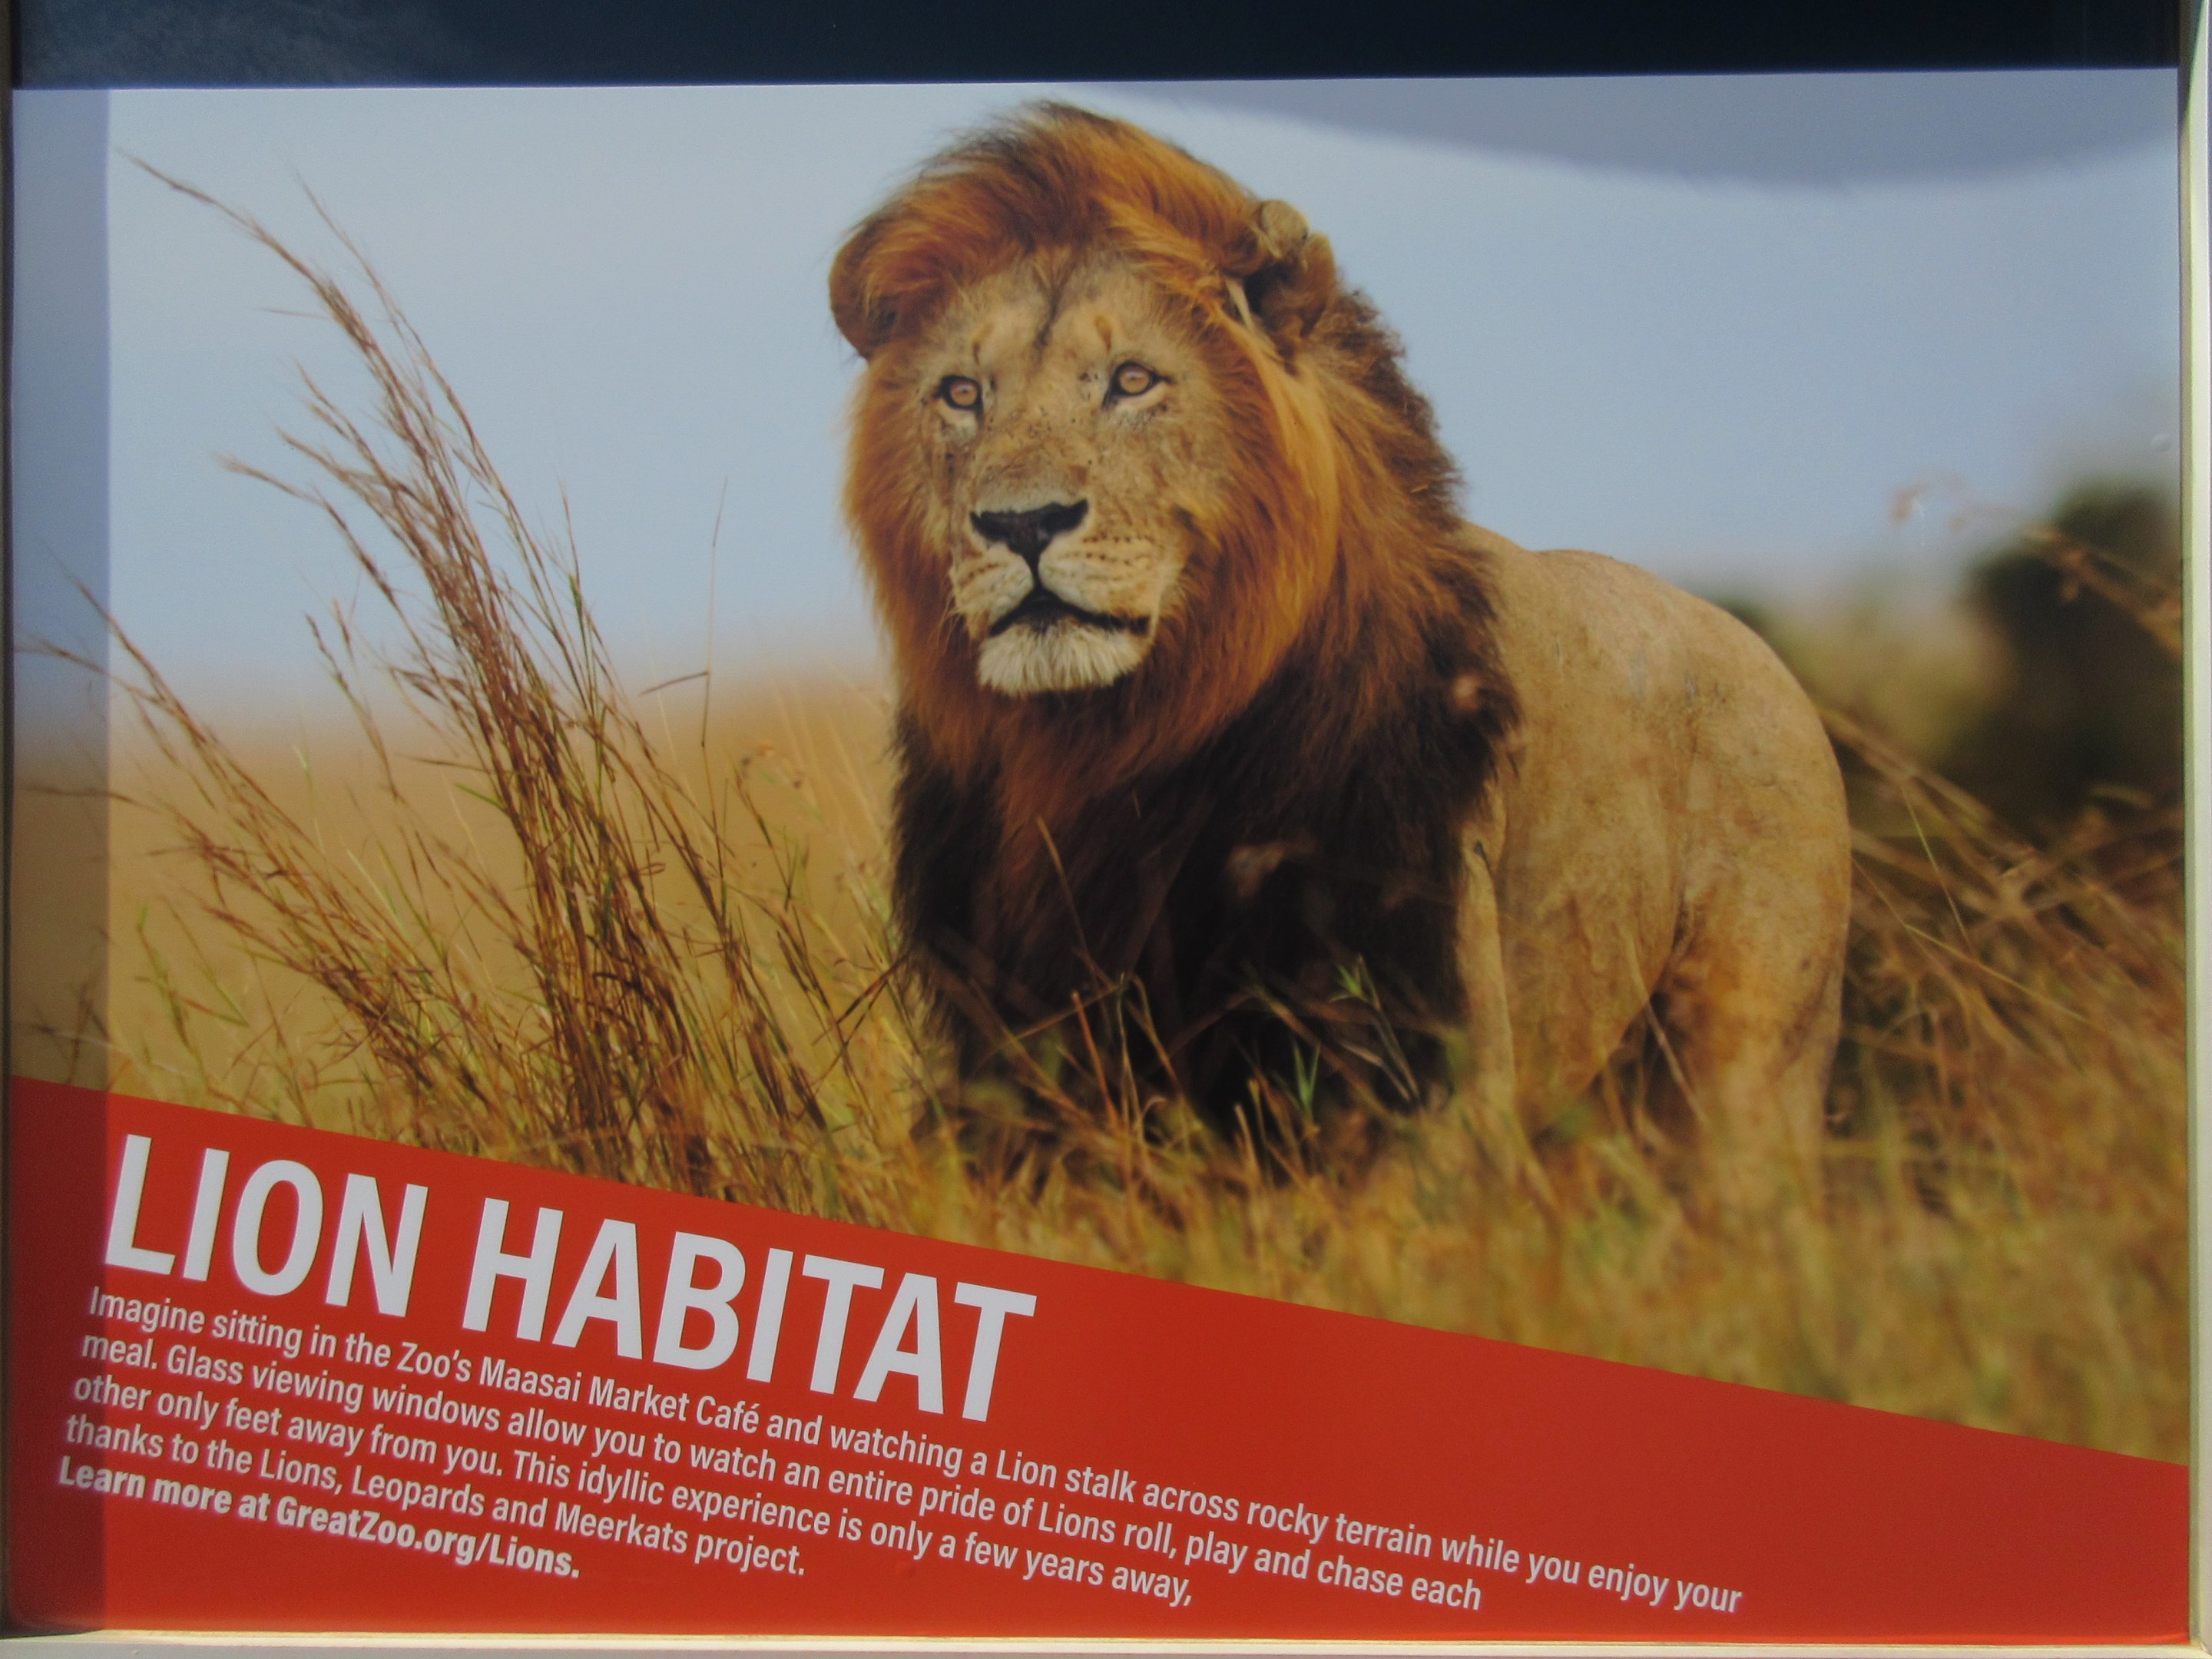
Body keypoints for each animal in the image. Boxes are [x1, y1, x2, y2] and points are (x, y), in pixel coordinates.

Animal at [829, 105, 1852, 1189]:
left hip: (1747, 1073)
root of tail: (1769, 661)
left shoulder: (1421, 1050)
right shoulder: (1015, 1051)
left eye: (1133, 381)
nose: (1021, 524)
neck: (1111, 747)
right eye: (962, 394)